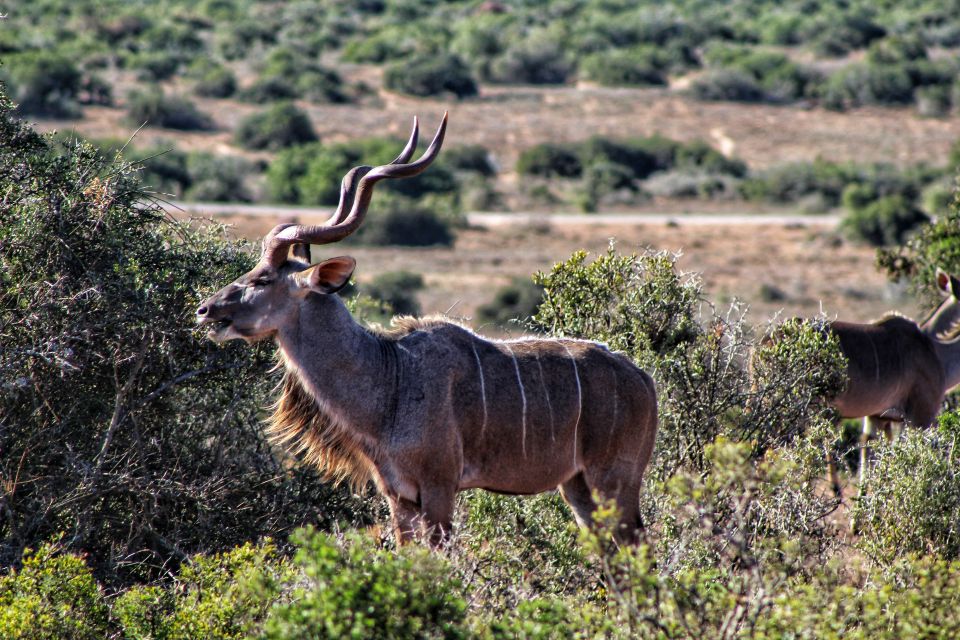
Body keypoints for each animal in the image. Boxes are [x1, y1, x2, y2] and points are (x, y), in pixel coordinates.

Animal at [195, 115, 660, 544]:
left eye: (262, 279)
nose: (205, 311)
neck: (390, 377)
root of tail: (643, 378)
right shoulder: (397, 497)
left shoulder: (439, 488)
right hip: (578, 487)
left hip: (612, 480)